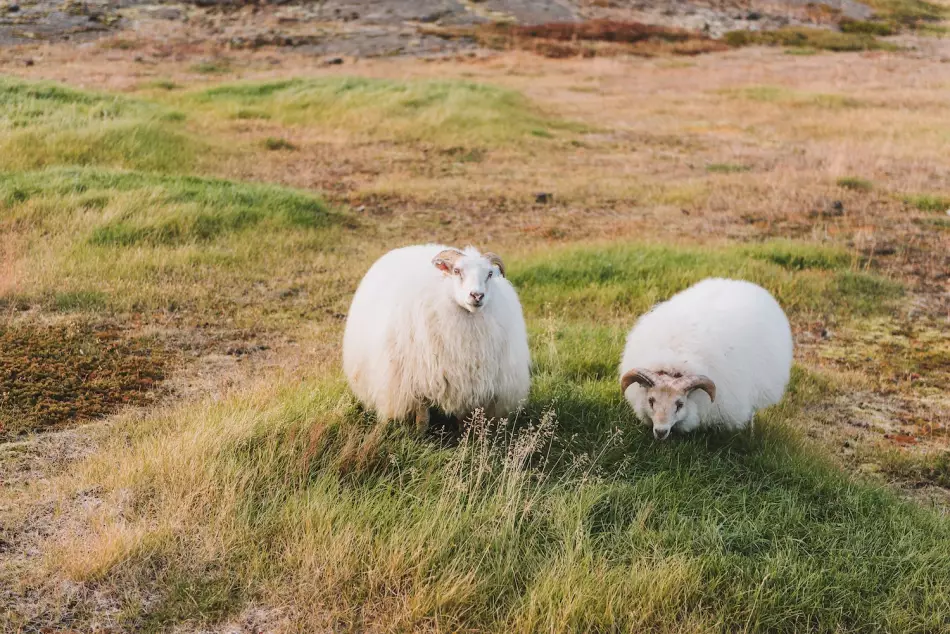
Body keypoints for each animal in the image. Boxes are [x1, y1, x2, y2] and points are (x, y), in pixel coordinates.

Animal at [343, 244, 531, 431]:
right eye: (456, 271)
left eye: (490, 274)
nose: (477, 295)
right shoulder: (417, 381)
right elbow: (422, 418)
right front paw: (420, 435)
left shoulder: (469, 383)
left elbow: (464, 419)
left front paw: (466, 436)